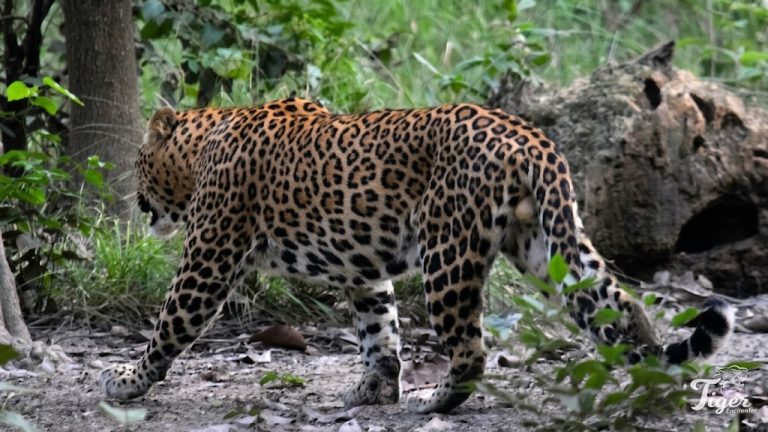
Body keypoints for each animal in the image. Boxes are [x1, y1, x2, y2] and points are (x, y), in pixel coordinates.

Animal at [100, 97, 734, 414]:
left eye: (137, 159)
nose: (132, 195)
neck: (204, 142)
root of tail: (530, 136)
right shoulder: (364, 269)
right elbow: (379, 331)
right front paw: (371, 390)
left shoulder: (209, 257)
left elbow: (170, 324)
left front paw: (128, 381)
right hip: (543, 244)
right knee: (621, 305)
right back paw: (656, 384)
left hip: (446, 252)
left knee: (471, 349)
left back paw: (437, 402)